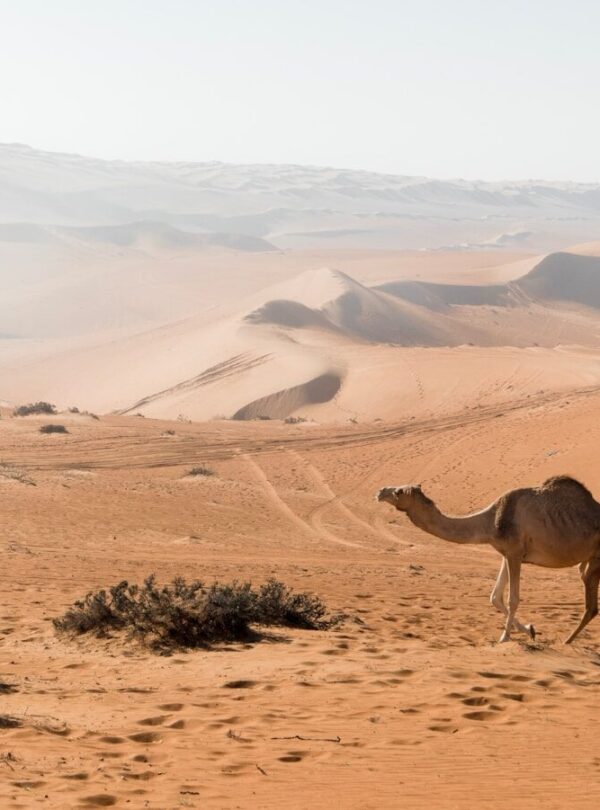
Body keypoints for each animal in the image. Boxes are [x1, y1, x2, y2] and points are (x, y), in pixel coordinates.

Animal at [376, 476, 600, 644]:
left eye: (399, 492)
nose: (380, 491)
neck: (491, 521)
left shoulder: (514, 553)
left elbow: (512, 598)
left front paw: (504, 638)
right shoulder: (507, 553)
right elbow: (495, 597)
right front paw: (530, 630)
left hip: (595, 560)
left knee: (591, 606)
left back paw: (567, 642)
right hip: (589, 562)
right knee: (591, 605)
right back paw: (567, 641)